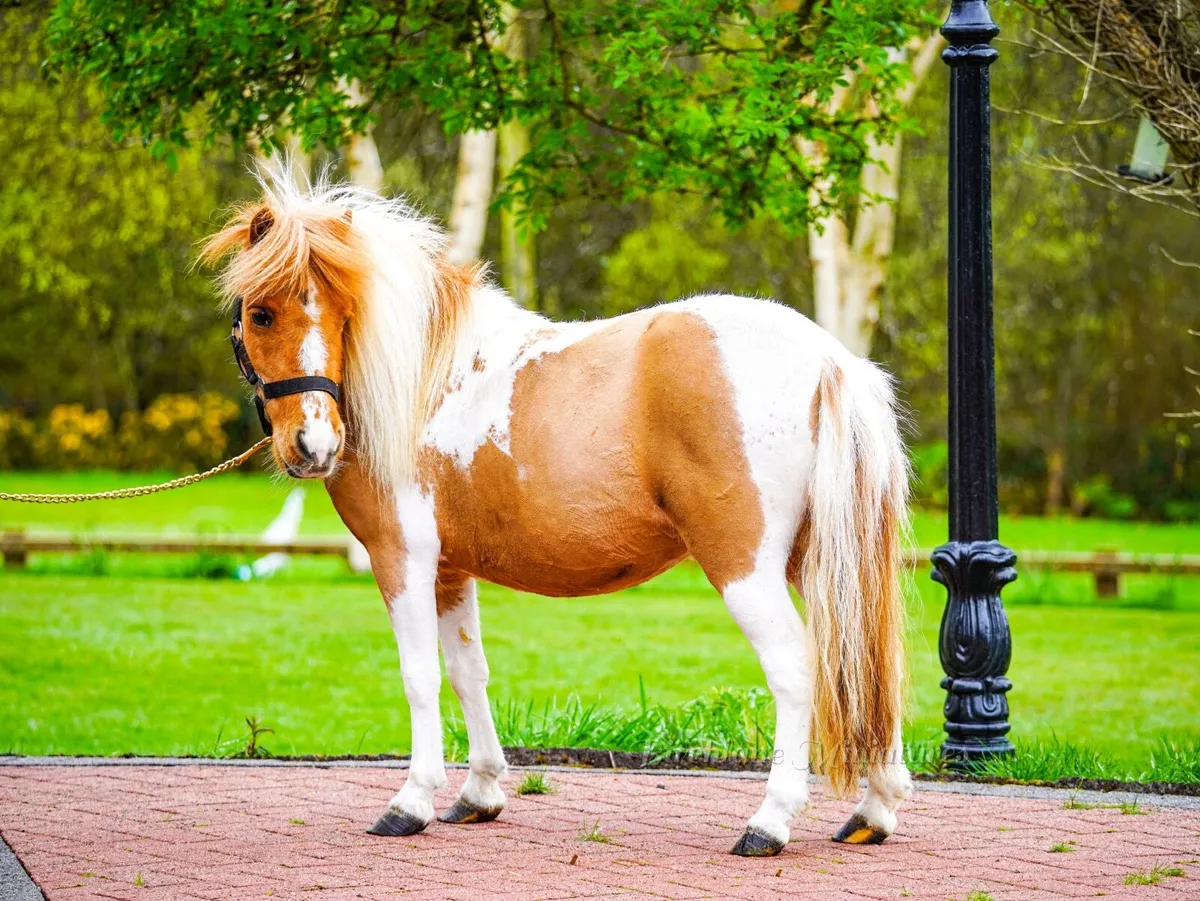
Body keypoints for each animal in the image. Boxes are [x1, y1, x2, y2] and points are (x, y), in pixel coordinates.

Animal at [201, 171, 913, 858]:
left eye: (340, 311)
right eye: (261, 314)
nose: (313, 447)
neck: (424, 382)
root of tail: (828, 359)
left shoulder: (402, 559)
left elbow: (420, 675)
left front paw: (411, 803)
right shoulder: (450, 571)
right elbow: (469, 672)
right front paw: (479, 793)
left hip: (745, 566)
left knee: (796, 668)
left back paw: (768, 823)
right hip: (820, 563)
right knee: (865, 665)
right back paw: (872, 813)